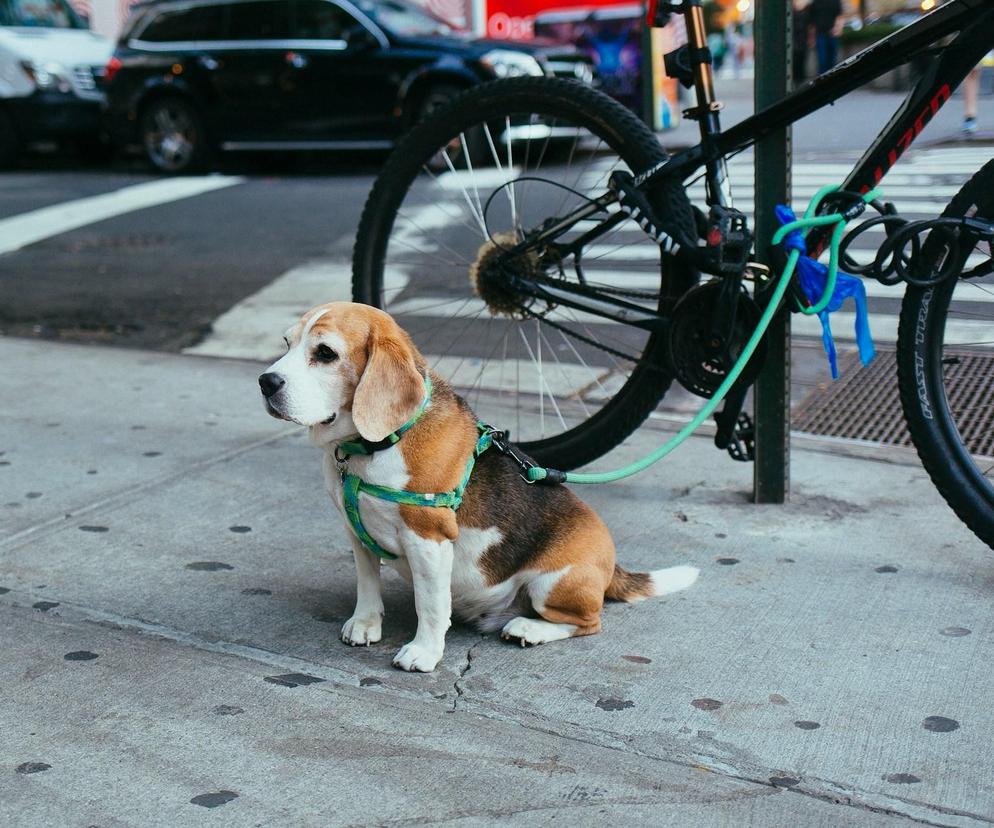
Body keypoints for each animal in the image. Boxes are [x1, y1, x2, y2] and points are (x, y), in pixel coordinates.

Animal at [264, 304, 696, 672]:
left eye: (325, 353)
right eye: (286, 343)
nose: (265, 382)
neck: (372, 446)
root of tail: (612, 565)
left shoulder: (428, 538)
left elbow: (431, 604)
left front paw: (423, 652)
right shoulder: (356, 531)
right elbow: (368, 582)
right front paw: (366, 623)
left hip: (552, 583)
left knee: (589, 622)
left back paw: (529, 628)